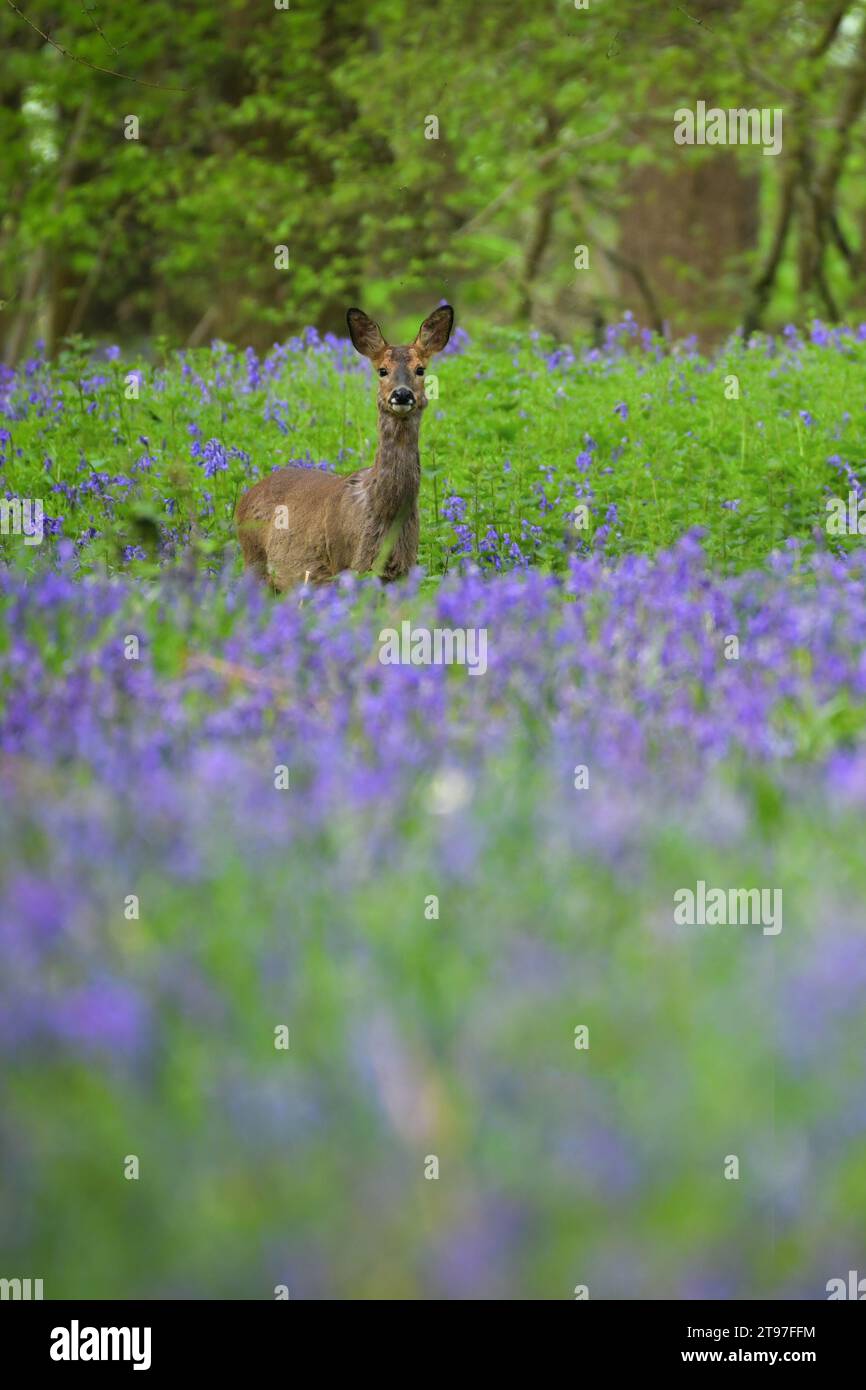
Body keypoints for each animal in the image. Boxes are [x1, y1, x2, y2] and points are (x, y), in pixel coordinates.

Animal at [237, 304, 453, 586]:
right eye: (382, 370)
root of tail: (242, 500)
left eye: (420, 369)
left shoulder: (404, 568)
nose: (402, 394)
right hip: (254, 559)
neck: (387, 513)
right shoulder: (344, 563)